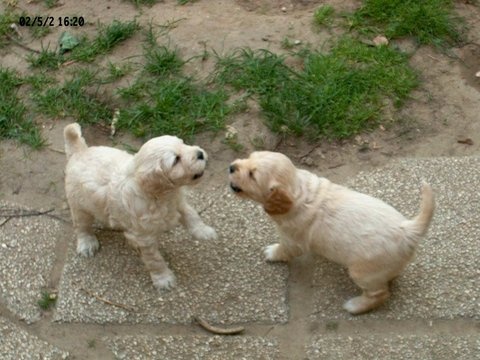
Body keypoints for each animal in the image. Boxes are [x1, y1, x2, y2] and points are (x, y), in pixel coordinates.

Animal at [62, 123, 217, 290]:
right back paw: (87, 243)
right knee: (81, 226)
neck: (159, 195)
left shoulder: (177, 202)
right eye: (176, 160)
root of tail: (80, 152)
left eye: (183, 144)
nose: (200, 153)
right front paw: (163, 279)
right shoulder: (144, 238)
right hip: (79, 205)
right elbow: (154, 260)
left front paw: (204, 232)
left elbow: (191, 215)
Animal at [229, 150, 436, 314]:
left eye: (252, 175)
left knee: (380, 294)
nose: (231, 167)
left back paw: (356, 306)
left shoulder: (292, 241)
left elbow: (284, 250)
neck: (298, 188)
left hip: (362, 272)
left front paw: (272, 252)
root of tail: (408, 229)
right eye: (249, 157)